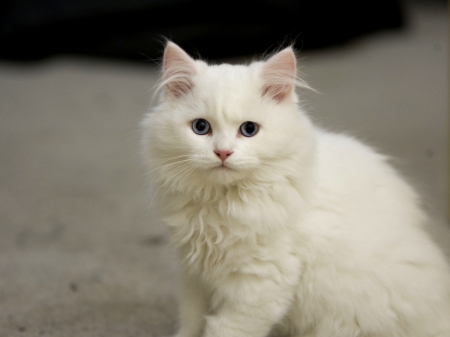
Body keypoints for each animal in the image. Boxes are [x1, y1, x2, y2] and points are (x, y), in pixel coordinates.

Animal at [142, 42, 450, 336]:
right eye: (201, 127)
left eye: (249, 129)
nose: (223, 153)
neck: (221, 204)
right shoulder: (194, 276)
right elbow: (191, 323)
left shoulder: (260, 283)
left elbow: (224, 329)